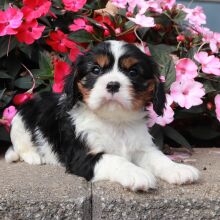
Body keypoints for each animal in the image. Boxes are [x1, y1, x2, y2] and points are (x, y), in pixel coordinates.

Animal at [5, 40, 199, 191]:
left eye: (133, 72)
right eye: (96, 70)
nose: (112, 84)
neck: (114, 121)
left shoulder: (142, 147)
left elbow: (159, 158)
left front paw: (178, 169)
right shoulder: (82, 157)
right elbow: (115, 159)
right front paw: (136, 173)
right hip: (19, 122)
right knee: (20, 146)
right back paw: (34, 157)